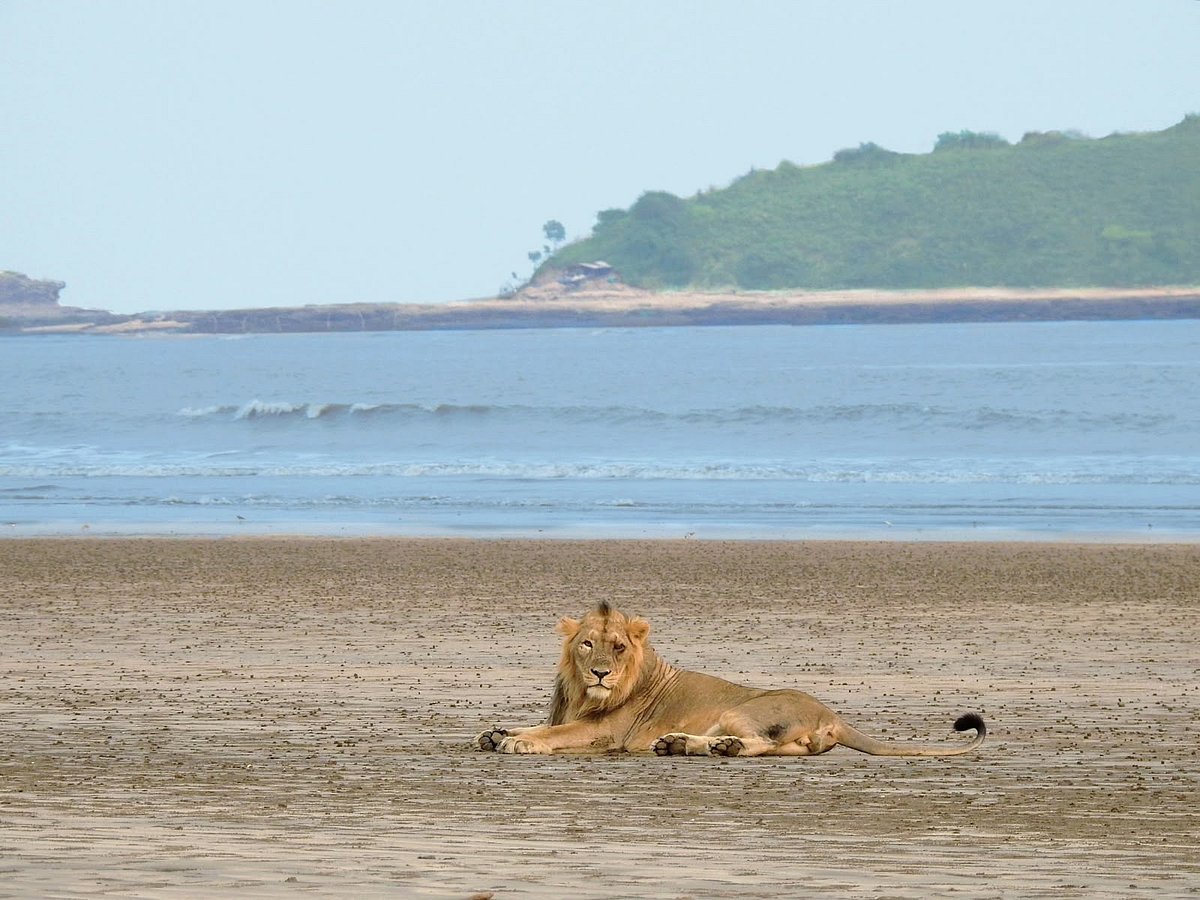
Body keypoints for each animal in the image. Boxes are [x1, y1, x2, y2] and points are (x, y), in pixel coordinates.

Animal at [477, 601, 985, 757]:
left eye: (618, 647)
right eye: (587, 644)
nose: (601, 672)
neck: (584, 693)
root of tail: (833, 713)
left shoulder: (606, 732)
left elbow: (554, 733)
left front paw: (519, 742)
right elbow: (539, 724)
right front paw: (497, 732)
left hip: (742, 709)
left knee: (759, 745)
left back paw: (712, 747)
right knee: (778, 750)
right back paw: (681, 744)